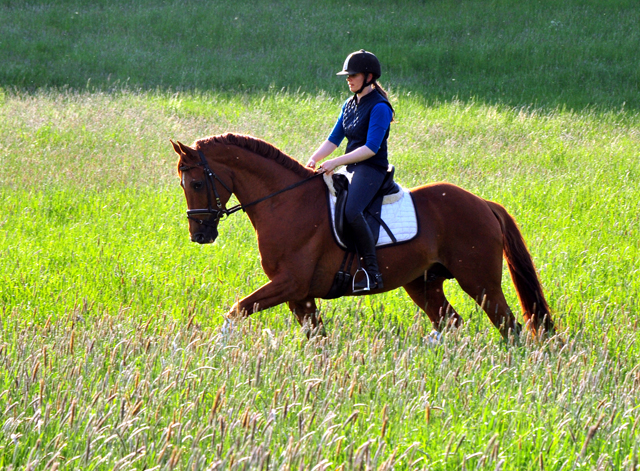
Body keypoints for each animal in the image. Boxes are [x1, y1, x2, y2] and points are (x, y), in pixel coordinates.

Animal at [171, 133, 556, 340]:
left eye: (197, 183)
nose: (199, 235)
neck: (285, 202)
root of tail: (483, 204)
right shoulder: (300, 296)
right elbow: (317, 338)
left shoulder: (290, 284)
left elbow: (236, 310)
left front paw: (216, 348)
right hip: (423, 283)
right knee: (450, 322)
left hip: (479, 281)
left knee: (509, 326)